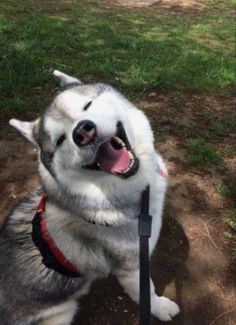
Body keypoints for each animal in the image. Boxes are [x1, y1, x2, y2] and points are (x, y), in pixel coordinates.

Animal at [0, 71, 179, 324]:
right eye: (60, 140)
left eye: (87, 105)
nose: (83, 132)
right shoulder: (132, 267)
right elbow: (147, 291)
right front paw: (161, 307)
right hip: (62, 313)